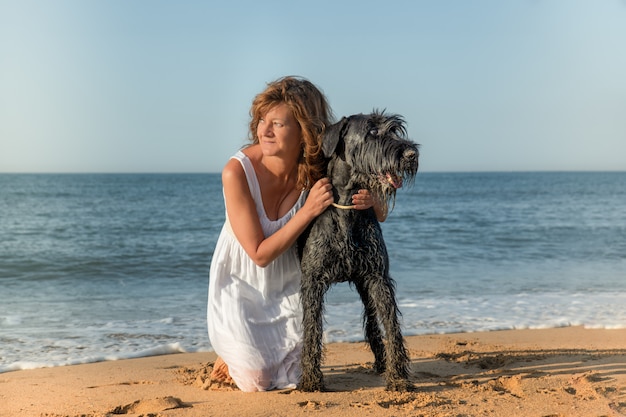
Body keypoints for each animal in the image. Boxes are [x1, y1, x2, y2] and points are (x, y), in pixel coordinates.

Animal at [294, 109, 416, 390]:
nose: (410, 154)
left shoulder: (378, 278)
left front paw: (398, 377)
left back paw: (382, 363)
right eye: (371, 131)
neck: (347, 207)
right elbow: (312, 329)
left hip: (365, 284)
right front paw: (311, 379)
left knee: (373, 324)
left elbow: (391, 325)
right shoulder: (312, 281)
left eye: (395, 130)